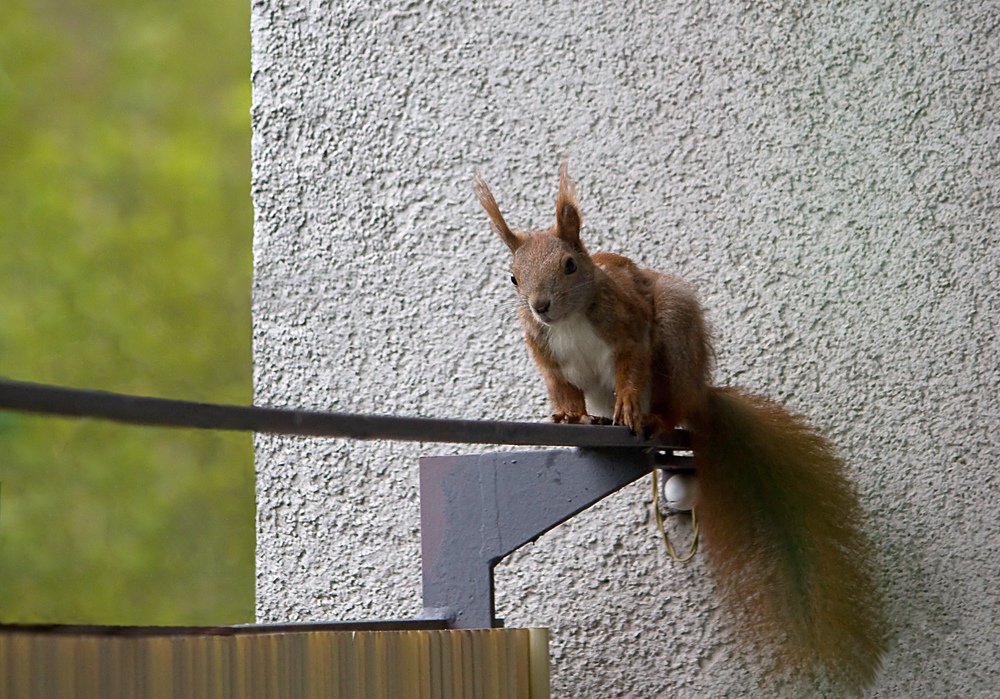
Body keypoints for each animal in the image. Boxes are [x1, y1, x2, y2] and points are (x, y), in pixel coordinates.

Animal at [476, 163, 892, 696]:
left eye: (570, 265)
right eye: (512, 277)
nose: (540, 305)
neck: (569, 320)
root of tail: (700, 394)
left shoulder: (630, 328)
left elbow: (632, 369)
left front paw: (631, 408)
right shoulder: (546, 356)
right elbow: (560, 390)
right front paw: (568, 418)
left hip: (674, 340)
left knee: (671, 402)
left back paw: (652, 418)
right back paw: (597, 418)